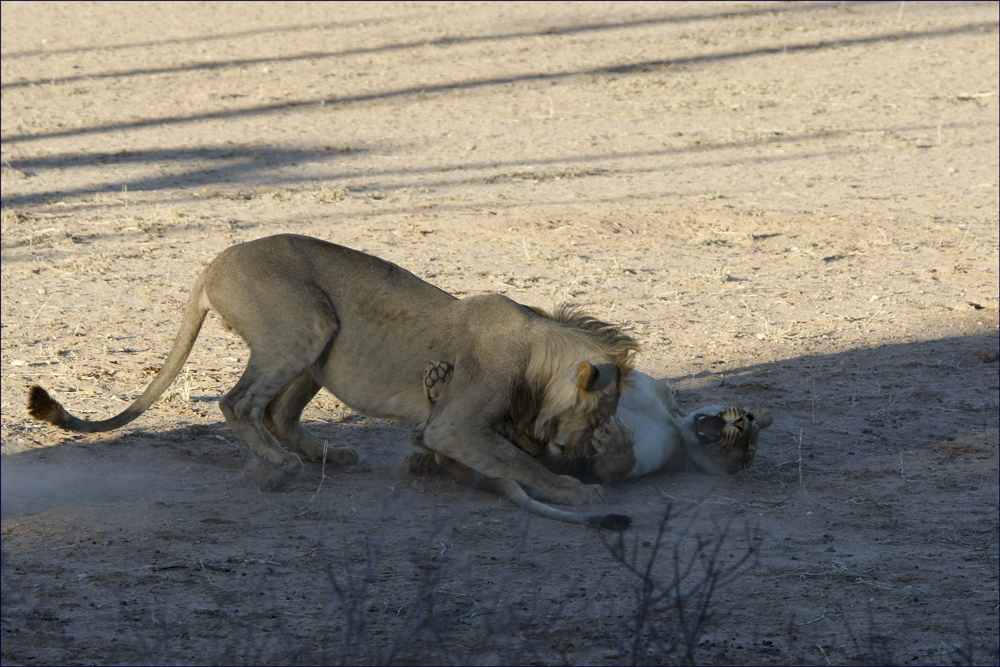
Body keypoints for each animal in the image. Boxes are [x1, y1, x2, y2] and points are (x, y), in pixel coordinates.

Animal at [31, 235, 640, 532]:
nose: (584, 455)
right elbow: (520, 462)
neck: (539, 351)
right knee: (238, 404)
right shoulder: (455, 426)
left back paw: (330, 456)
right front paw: (577, 490)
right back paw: (281, 468)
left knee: (277, 414)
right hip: (307, 324)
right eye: (599, 415)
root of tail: (212, 264)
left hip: (320, 348)